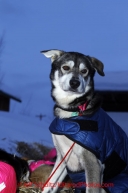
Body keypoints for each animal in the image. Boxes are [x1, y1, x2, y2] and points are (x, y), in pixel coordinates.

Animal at [40, 50, 128, 193]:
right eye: (65, 67)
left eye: (84, 71)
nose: (74, 83)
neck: (74, 113)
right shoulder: (62, 157)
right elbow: (50, 184)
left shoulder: (93, 162)